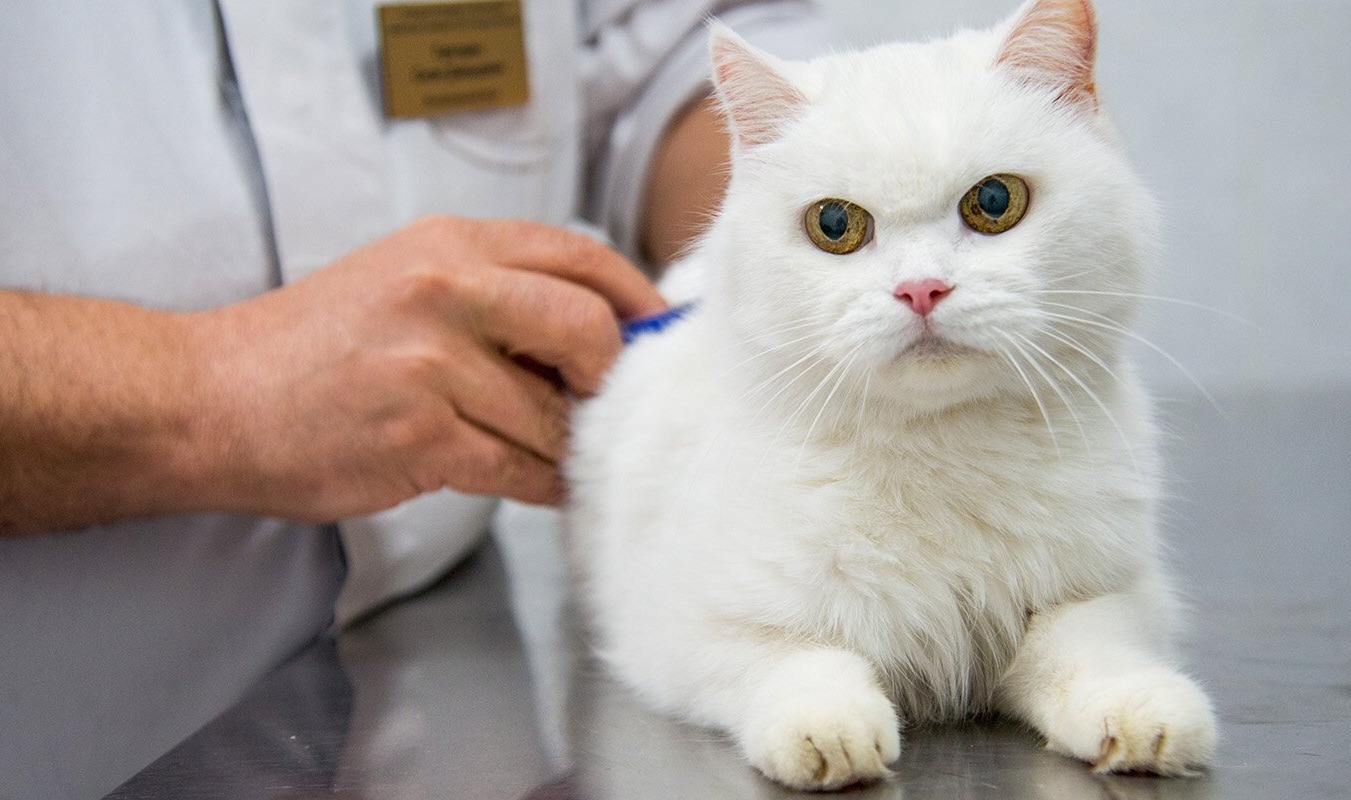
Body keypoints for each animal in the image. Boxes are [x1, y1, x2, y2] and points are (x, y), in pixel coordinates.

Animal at [564, 0, 1221, 789]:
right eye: (834, 224)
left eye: (994, 200)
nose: (921, 289)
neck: (937, 448)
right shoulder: (684, 624)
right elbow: (793, 658)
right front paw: (829, 730)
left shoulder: (1112, 588)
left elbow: (1088, 646)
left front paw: (1140, 710)